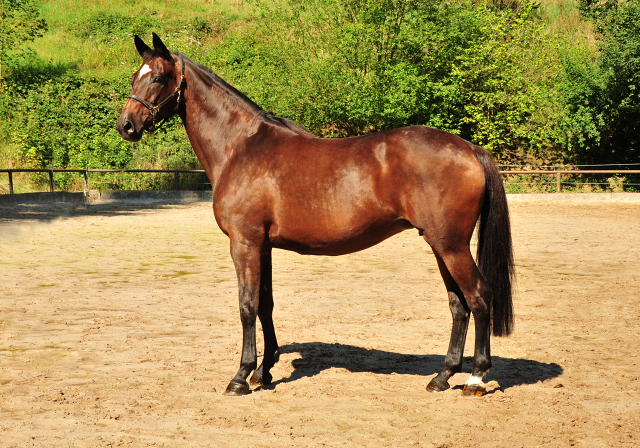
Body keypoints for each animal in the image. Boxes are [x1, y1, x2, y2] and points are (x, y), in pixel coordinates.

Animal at [116, 33, 516, 398]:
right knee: (458, 305)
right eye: (136, 75)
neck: (241, 147)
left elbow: (246, 305)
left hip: (451, 246)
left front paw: (241, 376)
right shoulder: (263, 246)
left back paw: (476, 379)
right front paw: (264, 370)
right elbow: (265, 305)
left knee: (478, 296)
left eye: (158, 77)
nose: (126, 126)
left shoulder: (244, 242)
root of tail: (469, 148)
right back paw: (442, 377)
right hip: (440, 245)